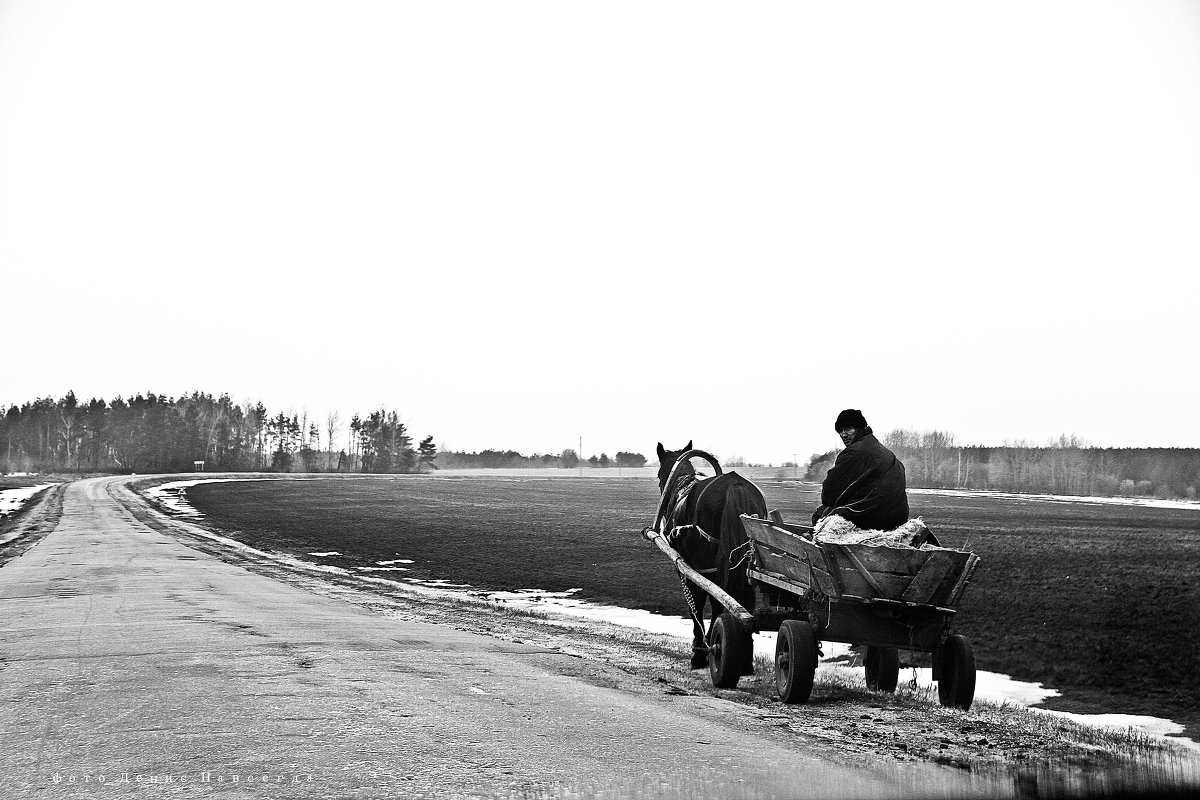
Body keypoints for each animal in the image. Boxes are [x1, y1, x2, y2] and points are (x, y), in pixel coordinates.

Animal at [657, 441, 768, 671]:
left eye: (658, 474)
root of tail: (734, 484)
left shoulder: (688, 568)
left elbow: (696, 606)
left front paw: (700, 650)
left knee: (718, 599)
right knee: (743, 600)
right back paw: (745, 657)